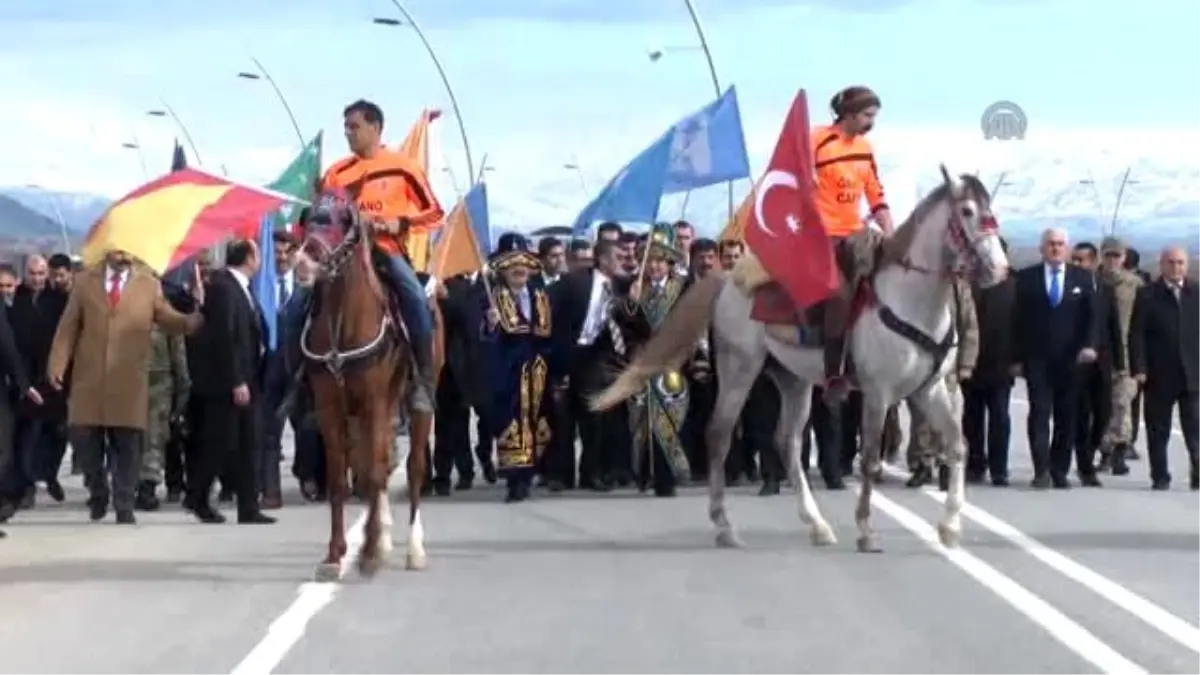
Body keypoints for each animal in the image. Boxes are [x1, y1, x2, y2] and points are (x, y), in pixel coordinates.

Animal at [296, 198, 441, 578]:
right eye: (309, 217)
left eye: (342, 221)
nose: (302, 263)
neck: (343, 323)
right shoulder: (331, 407)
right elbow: (340, 479)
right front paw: (336, 555)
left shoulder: (372, 401)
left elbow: (374, 474)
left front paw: (370, 553)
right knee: (380, 460)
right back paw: (384, 538)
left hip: (416, 400)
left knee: (413, 466)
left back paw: (414, 550)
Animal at [595, 165, 1008, 550]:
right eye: (967, 211)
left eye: (990, 208)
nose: (1000, 268)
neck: (910, 300)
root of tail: (728, 280)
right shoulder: (878, 393)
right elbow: (870, 459)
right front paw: (866, 530)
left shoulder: (930, 389)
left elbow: (957, 445)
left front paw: (950, 526)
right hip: (739, 367)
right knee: (719, 434)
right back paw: (725, 526)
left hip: (792, 379)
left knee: (788, 441)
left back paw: (817, 525)